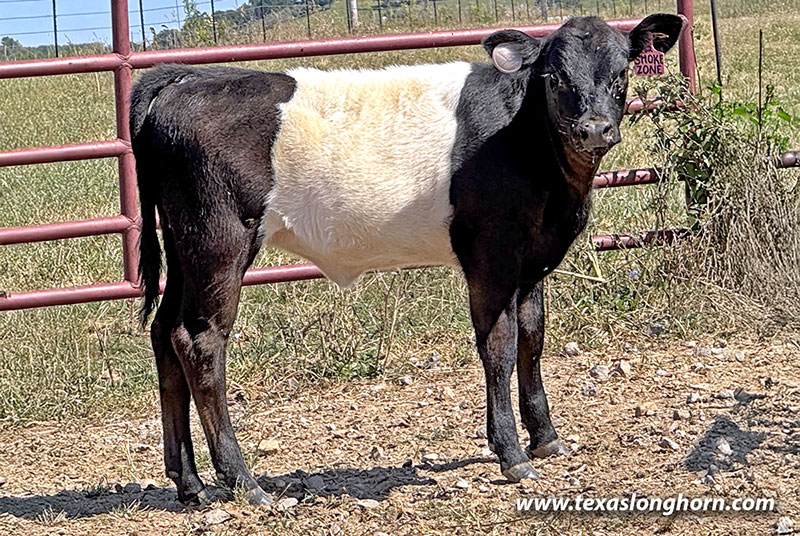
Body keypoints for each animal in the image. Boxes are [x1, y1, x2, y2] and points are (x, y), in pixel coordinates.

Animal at [130, 14, 683, 505]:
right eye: (554, 76)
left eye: (621, 72)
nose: (593, 129)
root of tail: (184, 77)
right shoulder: (492, 256)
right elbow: (500, 347)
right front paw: (511, 454)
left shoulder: (531, 261)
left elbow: (532, 338)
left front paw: (545, 437)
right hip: (219, 241)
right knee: (200, 342)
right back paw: (244, 482)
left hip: (183, 245)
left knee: (164, 332)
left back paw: (190, 483)